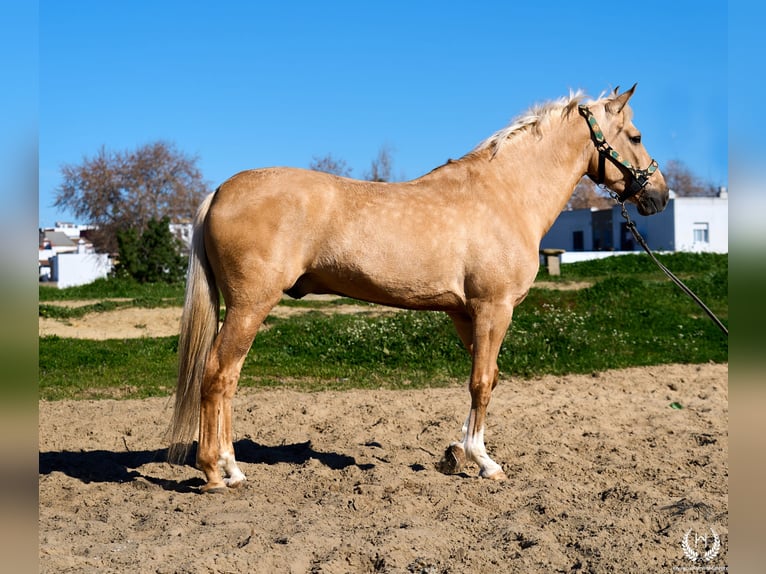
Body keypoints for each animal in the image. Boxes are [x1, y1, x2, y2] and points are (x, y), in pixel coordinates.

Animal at [168, 84, 669, 492]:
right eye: (636, 136)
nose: (659, 196)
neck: (505, 194)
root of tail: (219, 191)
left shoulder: (464, 313)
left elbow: (486, 378)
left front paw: (456, 453)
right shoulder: (494, 308)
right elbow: (481, 383)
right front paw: (484, 462)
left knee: (228, 377)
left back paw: (232, 468)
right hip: (250, 306)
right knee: (218, 374)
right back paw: (217, 472)